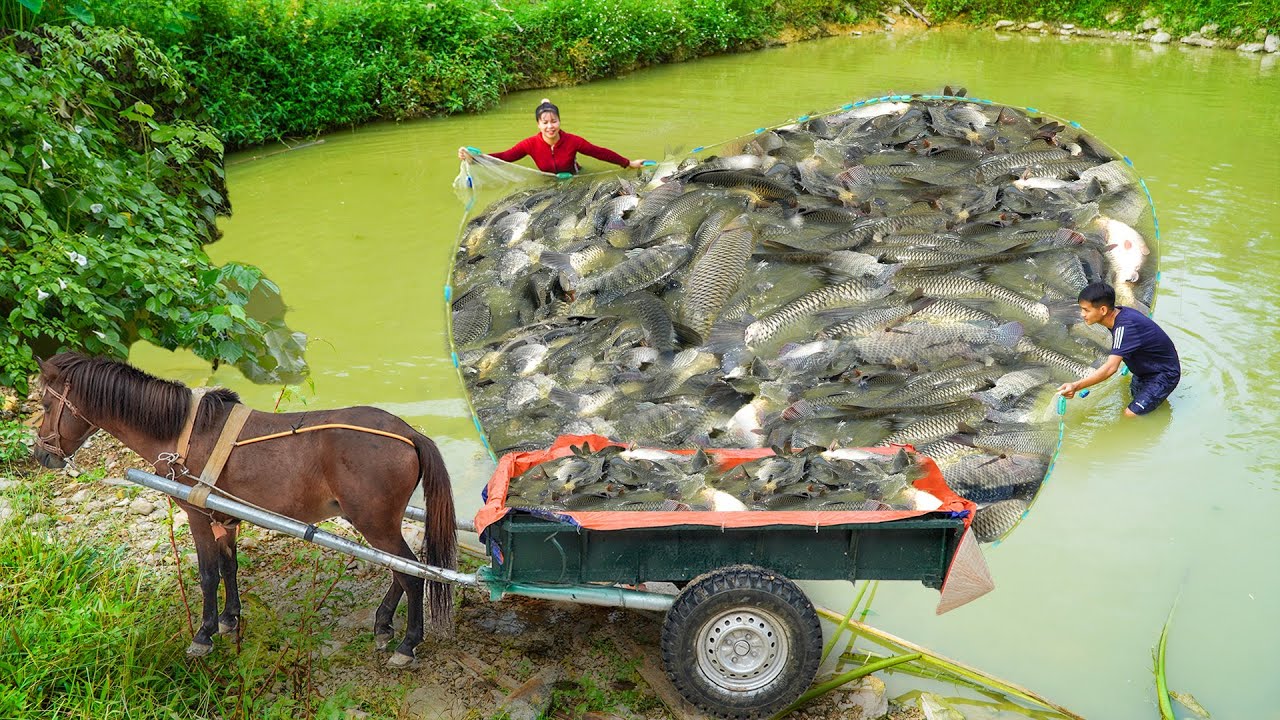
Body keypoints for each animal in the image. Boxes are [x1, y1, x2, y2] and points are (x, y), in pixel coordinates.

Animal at [31, 352, 457, 667]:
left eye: (47, 403)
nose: (39, 454)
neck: (183, 433)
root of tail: (409, 433)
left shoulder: (197, 515)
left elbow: (207, 574)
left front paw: (203, 635)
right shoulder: (224, 518)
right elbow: (228, 567)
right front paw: (228, 619)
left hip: (374, 523)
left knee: (412, 574)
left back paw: (408, 644)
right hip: (375, 523)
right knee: (400, 570)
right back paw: (384, 623)